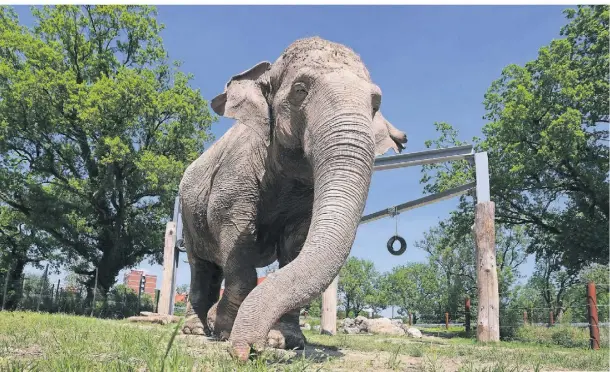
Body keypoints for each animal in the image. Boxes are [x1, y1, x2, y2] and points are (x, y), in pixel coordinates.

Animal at [178, 36, 406, 358]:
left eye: (375, 104)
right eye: (300, 90)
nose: (249, 350)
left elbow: (295, 246)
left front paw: (285, 341)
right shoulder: (233, 178)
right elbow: (236, 239)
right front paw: (225, 332)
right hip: (187, 213)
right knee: (201, 268)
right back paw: (197, 330)